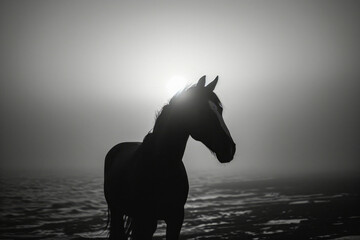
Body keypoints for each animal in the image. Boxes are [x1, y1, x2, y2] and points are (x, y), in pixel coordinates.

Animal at [103, 76, 236, 239]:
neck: (161, 166)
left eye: (220, 110)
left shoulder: (175, 219)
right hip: (117, 211)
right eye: (202, 111)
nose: (230, 148)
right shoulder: (144, 220)